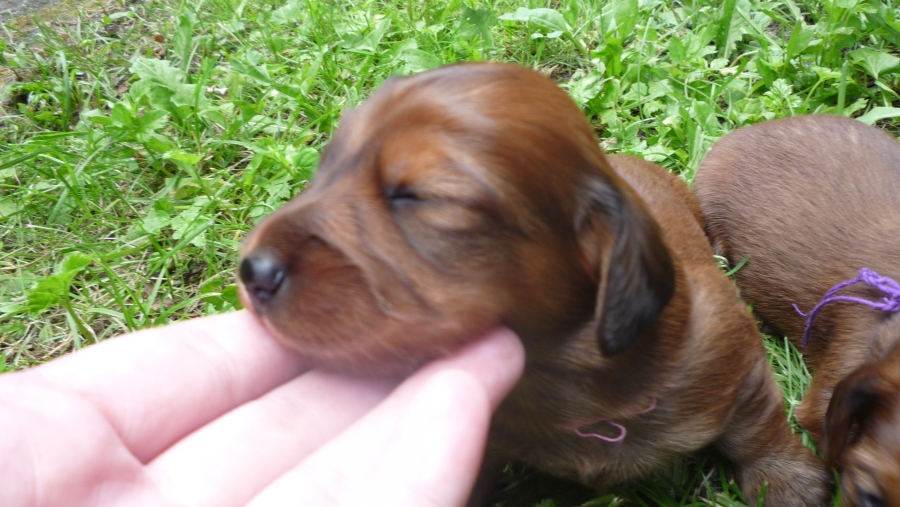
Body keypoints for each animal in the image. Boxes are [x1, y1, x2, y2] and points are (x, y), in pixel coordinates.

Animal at [237, 63, 829, 505]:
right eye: (324, 170)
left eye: (421, 196)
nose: (252, 271)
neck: (552, 376)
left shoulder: (732, 355)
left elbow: (755, 428)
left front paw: (787, 483)